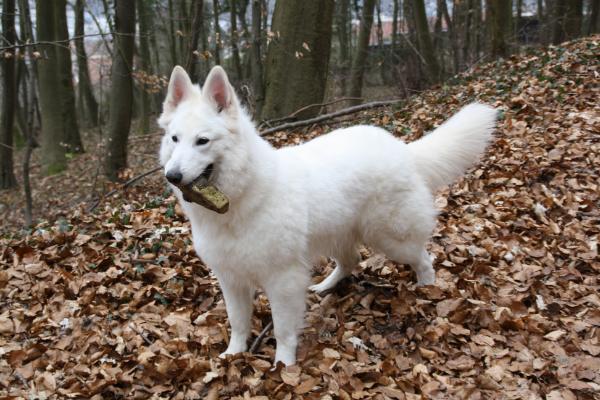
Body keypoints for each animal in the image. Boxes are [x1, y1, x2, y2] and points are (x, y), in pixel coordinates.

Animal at [158, 64, 496, 364]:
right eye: (175, 139)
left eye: (202, 141)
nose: (172, 176)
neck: (241, 197)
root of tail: (403, 149)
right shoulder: (231, 280)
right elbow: (238, 323)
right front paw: (233, 355)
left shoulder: (283, 280)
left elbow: (283, 330)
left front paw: (283, 365)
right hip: (338, 235)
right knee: (351, 261)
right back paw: (324, 287)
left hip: (392, 239)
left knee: (423, 258)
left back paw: (428, 289)